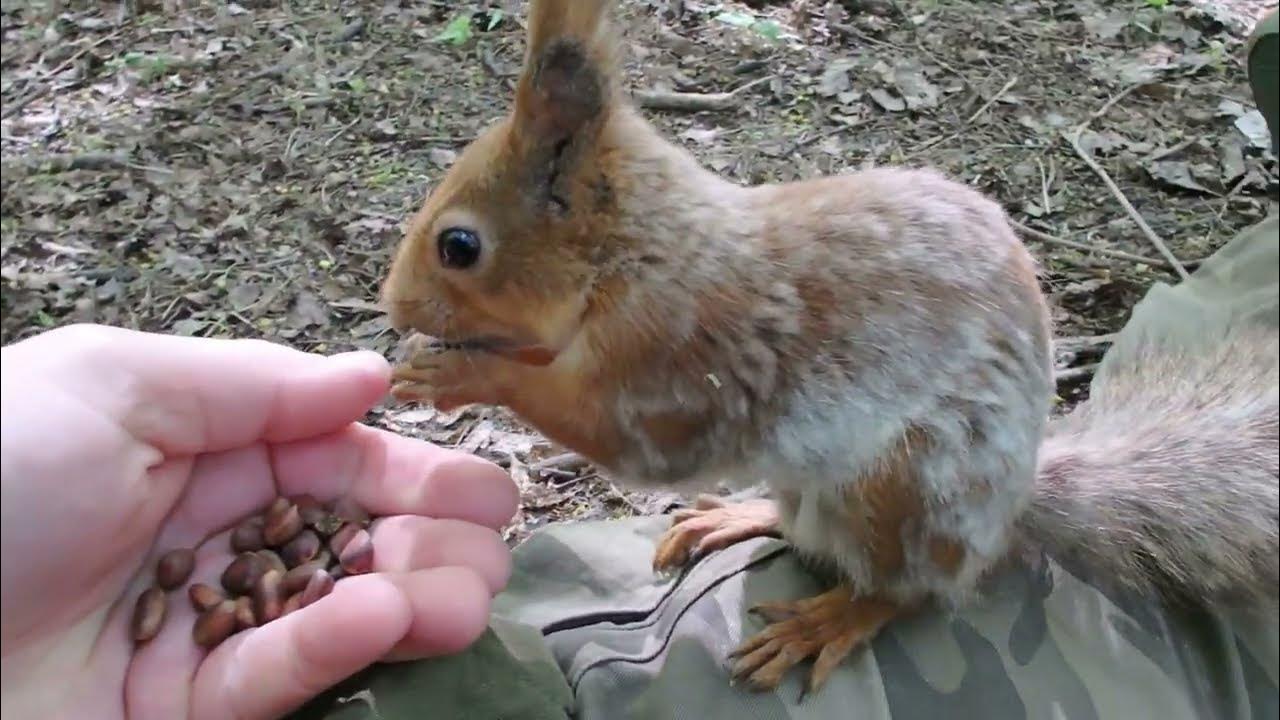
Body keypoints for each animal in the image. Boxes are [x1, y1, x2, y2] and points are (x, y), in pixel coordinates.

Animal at [378, 0, 1280, 696]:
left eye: (459, 246)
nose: (392, 305)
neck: (640, 256)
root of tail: (1010, 510)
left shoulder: (682, 354)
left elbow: (628, 434)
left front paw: (460, 371)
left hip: (905, 492)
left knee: (906, 592)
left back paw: (832, 619)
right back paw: (736, 516)